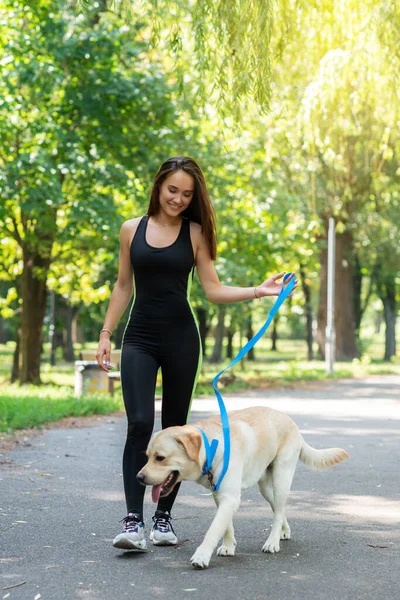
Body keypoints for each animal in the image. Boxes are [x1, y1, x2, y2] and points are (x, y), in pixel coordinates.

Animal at [136, 406, 348, 568]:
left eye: (160, 458)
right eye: (147, 456)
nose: (139, 477)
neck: (212, 448)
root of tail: (292, 423)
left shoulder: (229, 498)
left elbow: (214, 529)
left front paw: (202, 555)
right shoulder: (220, 495)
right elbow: (226, 525)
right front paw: (229, 545)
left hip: (281, 478)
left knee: (279, 510)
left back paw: (272, 541)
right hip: (265, 487)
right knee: (279, 509)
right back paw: (284, 531)